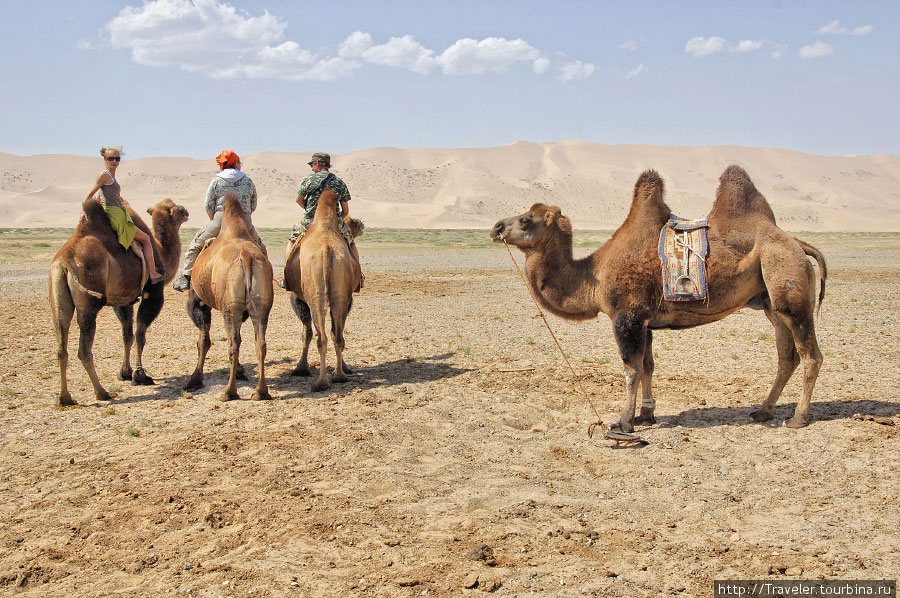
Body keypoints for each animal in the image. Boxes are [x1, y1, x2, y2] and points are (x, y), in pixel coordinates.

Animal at [49, 197, 190, 408]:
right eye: (179, 210)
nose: (187, 211)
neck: (160, 252)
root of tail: (64, 262)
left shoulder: (123, 300)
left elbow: (127, 335)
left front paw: (125, 372)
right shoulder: (153, 293)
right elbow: (140, 334)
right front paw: (140, 375)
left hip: (58, 297)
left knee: (61, 342)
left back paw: (65, 398)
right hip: (88, 305)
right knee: (84, 349)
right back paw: (102, 392)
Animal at [185, 191, 274, 404]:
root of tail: (246, 256)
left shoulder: (199, 303)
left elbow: (203, 341)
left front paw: (194, 380)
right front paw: (241, 371)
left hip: (229, 308)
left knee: (232, 344)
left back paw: (229, 392)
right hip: (260, 305)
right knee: (260, 344)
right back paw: (261, 392)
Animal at [284, 190, 362, 392]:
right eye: (353, 222)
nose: (361, 224)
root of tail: (327, 249)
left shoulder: (296, 298)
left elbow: (306, 333)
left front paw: (300, 368)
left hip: (315, 296)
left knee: (323, 336)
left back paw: (321, 382)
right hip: (339, 295)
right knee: (337, 335)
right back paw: (339, 375)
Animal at [492, 166, 828, 434]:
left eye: (526, 220)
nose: (496, 227)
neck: (593, 276)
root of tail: (797, 244)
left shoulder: (627, 315)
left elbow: (631, 369)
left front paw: (624, 422)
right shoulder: (646, 321)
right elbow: (648, 365)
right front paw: (646, 414)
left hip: (788, 285)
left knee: (810, 355)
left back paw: (798, 418)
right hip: (770, 303)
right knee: (787, 355)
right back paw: (763, 411)